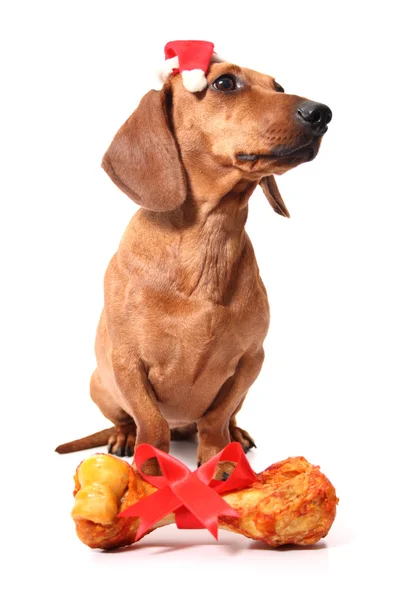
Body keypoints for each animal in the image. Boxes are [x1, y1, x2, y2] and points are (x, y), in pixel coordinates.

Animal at [57, 59, 332, 468]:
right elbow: (151, 423)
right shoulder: (126, 363)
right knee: (126, 420)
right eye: (225, 83)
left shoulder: (251, 360)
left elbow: (216, 418)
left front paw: (222, 459)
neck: (207, 245)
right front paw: (150, 467)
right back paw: (124, 436)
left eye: (279, 86)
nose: (322, 113)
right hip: (99, 382)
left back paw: (236, 435)